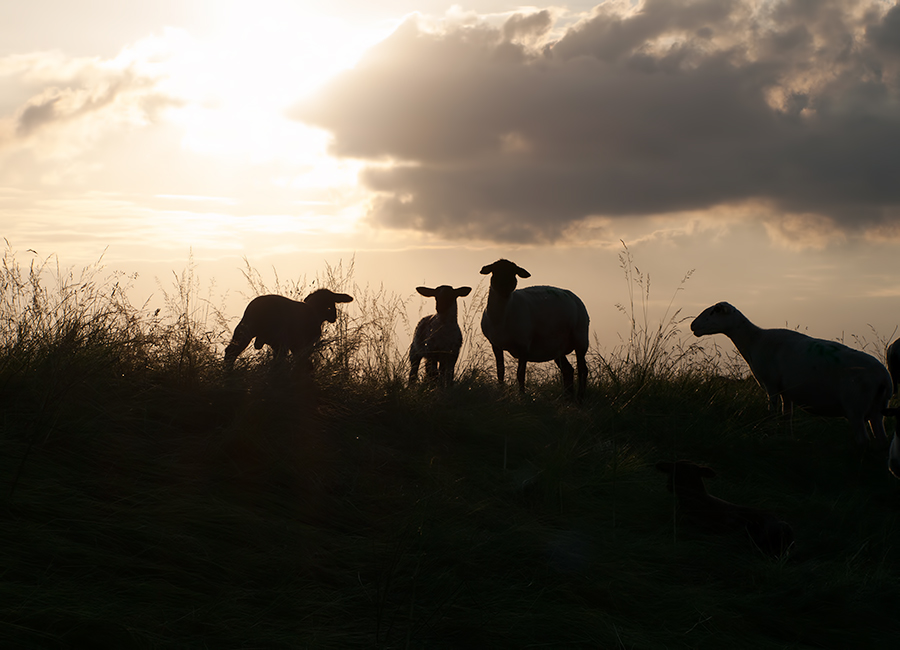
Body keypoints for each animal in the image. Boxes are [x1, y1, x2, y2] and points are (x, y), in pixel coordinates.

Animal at [223, 288, 354, 368]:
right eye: (332, 304)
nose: (334, 317)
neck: (315, 310)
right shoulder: (303, 344)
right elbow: (304, 362)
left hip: (244, 331)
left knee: (231, 352)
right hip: (278, 338)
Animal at [478, 258, 592, 400]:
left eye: (514, 273)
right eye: (495, 271)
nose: (505, 287)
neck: (502, 316)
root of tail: (575, 297)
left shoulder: (523, 345)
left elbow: (520, 374)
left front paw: (521, 396)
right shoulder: (496, 345)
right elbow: (500, 372)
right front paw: (501, 392)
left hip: (580, 337)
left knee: (583, 369)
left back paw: (580, 398)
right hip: (557, 346)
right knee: (568, 370)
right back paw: (567, 398)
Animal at [688, 302, 892, 446]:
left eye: (714, 311)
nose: (692, 325)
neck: (754, 340)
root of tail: (884, 377)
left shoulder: (771, 385)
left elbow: (773, 413)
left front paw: (770, 433)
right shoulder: (787, 391)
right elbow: (788, 417)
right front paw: (787, 437)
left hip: (855, 406)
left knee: (863, 440)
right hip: (876, 409)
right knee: (882, 440)